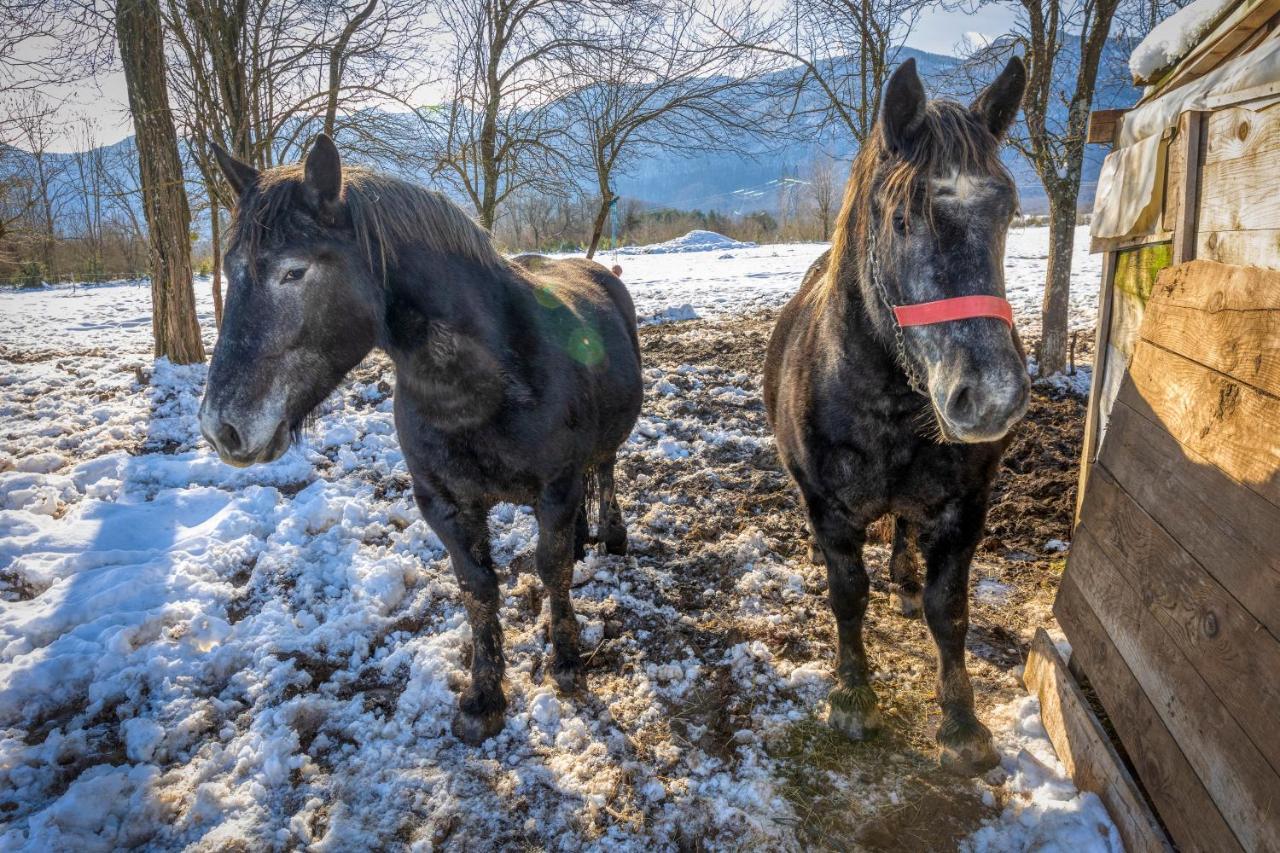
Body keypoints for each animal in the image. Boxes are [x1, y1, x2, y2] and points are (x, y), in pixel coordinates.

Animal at [198, 136, 645, 742]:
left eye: (294, 272)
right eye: (230, 269)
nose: (221, 427)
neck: (478, 386)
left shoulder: (555, 487)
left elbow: (552, 569)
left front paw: (568, 658)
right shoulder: (444, 504)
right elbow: (479, 589)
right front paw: (484, 697)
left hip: (600, 452)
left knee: (606, 469)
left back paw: (611, 535)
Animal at [757, 56, 1029, 773]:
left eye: (1008, 210)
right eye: (903, 220)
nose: (991, 396)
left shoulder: (964, 509)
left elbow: (948, 610)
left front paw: (961, 723)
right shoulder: (829, 508)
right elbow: (847, 594)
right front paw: (854, 696)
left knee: (906, 532)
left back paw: (904, 582)